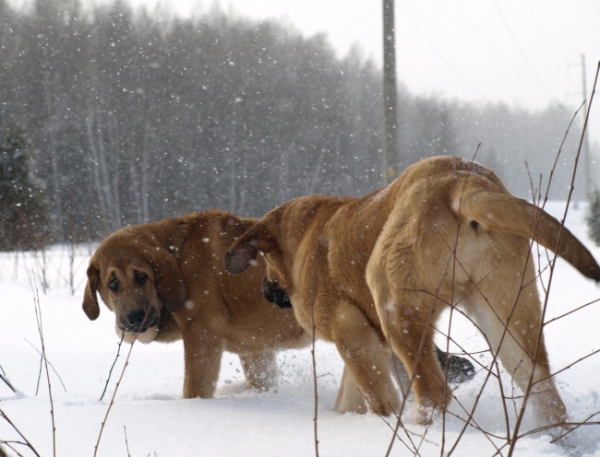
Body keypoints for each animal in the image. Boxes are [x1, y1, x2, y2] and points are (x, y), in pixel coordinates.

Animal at [81, 208, 310, 398]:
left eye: (141, 276)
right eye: (112, 283)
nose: (136, 317)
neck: (179, 259)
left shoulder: (202, 337)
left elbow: (193, 390)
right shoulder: (256, 352)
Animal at [225, 155, 600, 432]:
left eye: (263, 261)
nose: (264, 290)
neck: (306, 234)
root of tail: (461, 184)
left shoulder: (352, 335)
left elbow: (378, 400)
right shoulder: (369, 341)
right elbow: (349, 399)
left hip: (396, 307)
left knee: (434, 395)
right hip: (509, 319)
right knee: (545, 393)